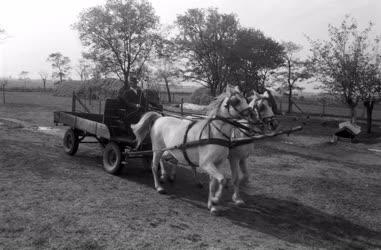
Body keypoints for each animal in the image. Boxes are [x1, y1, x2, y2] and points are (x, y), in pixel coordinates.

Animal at [131, 86, 252, 215]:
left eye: (245, 99)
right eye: (236, 101)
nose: (251, 113)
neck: (215, 133)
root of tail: (160, 117)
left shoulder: (218, 163)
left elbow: (214, 183)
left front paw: (212, 205)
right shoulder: (206, 164)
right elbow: (223, 180)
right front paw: (215, 200)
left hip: (168, 149)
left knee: (164, 160)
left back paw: (165, 176)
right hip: (157, 149)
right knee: (154, 166)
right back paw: (159, 187)